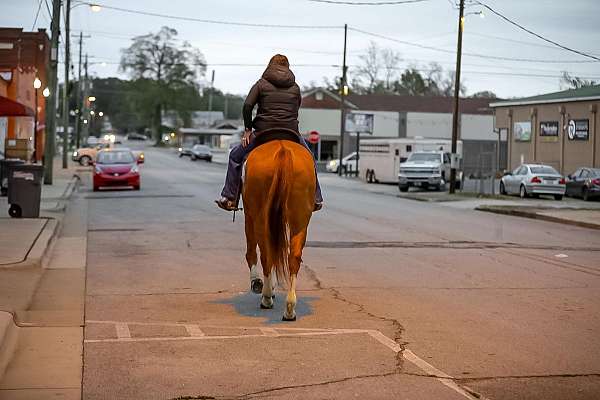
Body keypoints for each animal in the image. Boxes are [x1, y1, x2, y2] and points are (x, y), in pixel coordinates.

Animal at [241, 136, 316, 320]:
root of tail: (283, 150)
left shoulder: (248, 214)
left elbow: (251, 251)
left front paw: (257, 282)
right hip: (300, 217)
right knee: (293, 257)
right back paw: (289, 308)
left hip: (259, 216)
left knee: (266, 255)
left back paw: (266, 297)